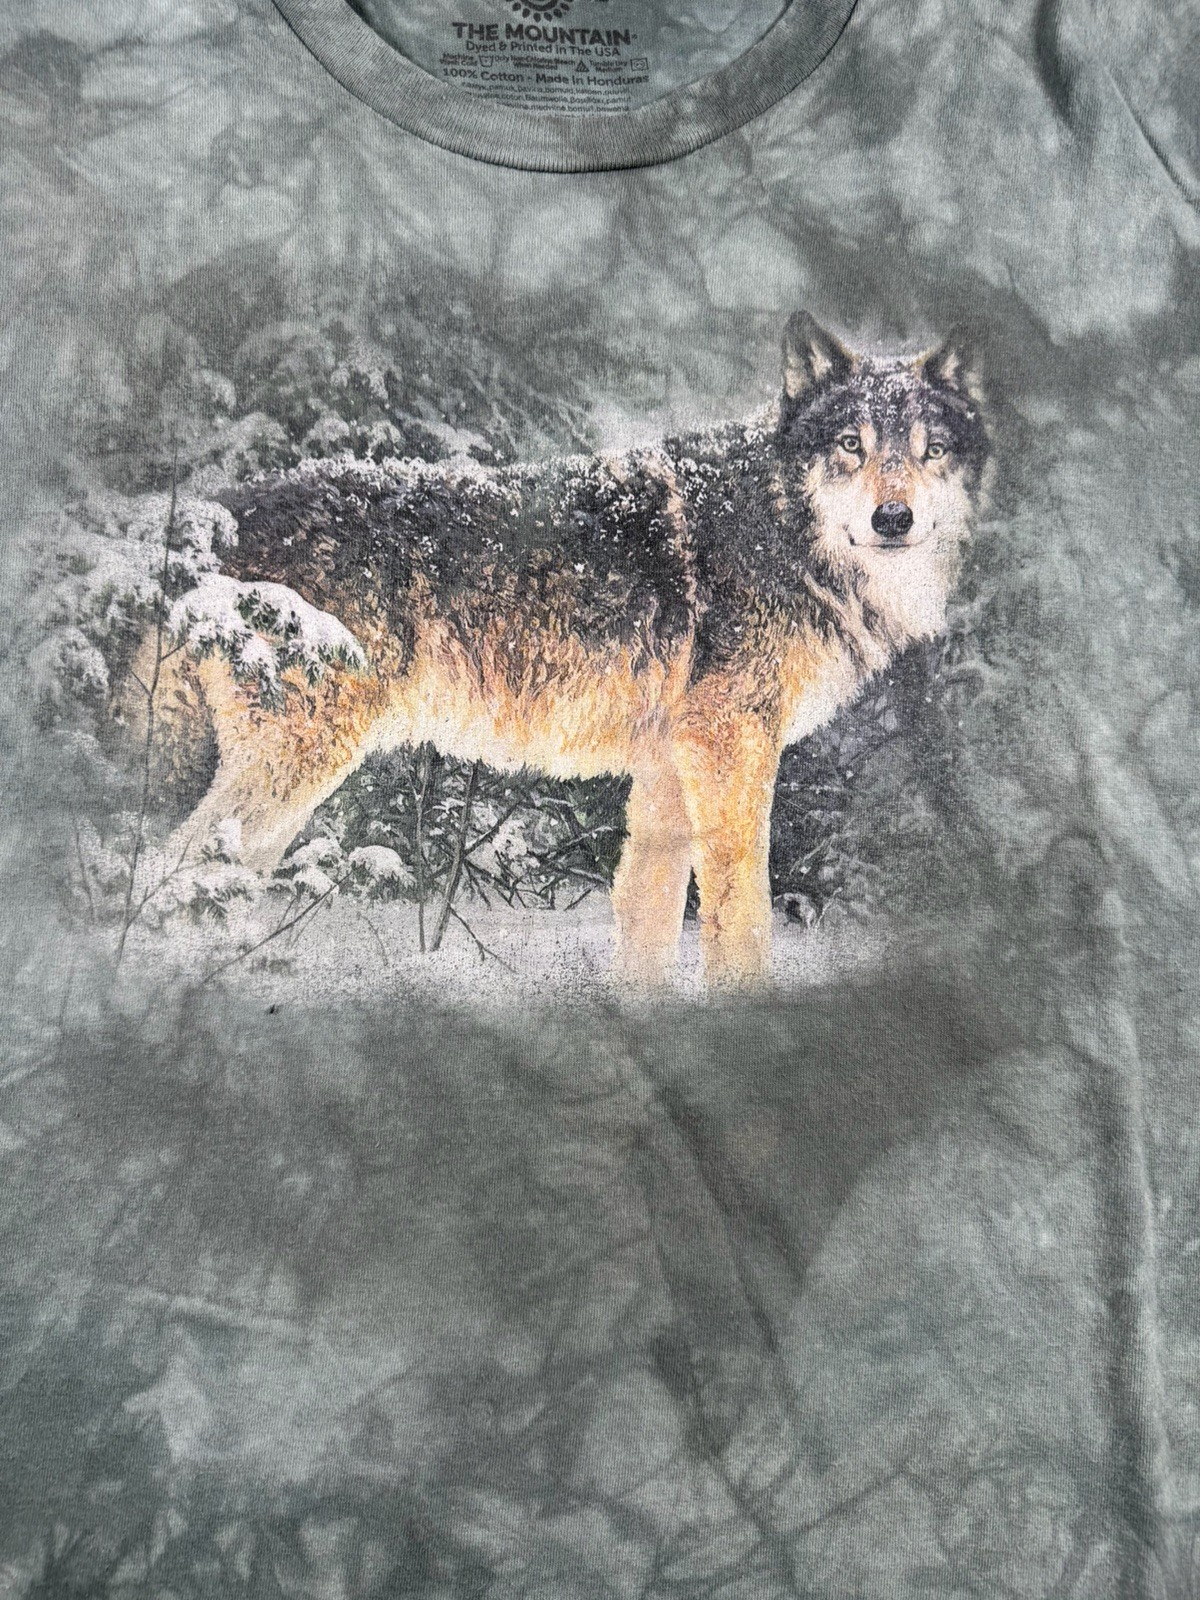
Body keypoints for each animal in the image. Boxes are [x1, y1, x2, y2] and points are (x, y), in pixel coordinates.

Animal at [154, 314, 990, 987]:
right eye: (852, 445)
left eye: (932, 451)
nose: (893, 518)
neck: (777, 527)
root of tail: (219, 510)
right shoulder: (731, 747)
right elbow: (740, 914)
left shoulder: (666, 769)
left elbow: (648, 925)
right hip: (296, 769)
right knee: (167, 871)